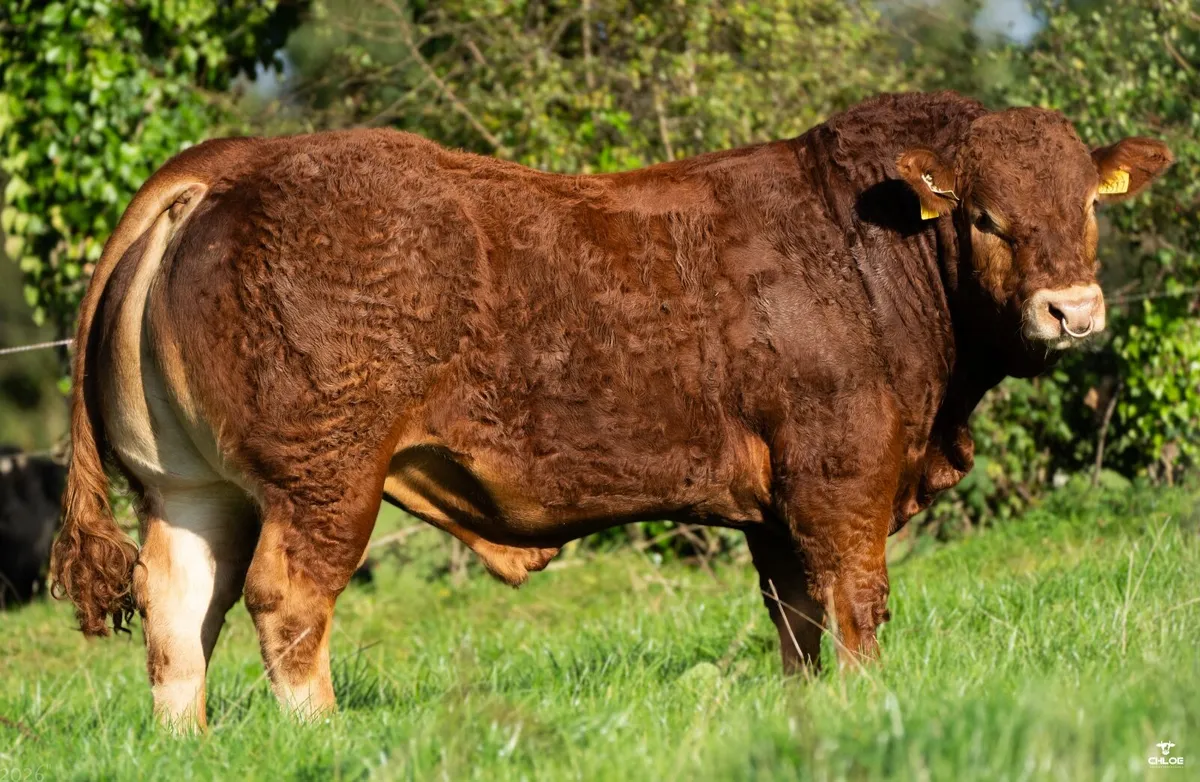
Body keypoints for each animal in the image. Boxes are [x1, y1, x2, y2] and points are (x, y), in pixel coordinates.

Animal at [49, 91, 1171, 730]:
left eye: (1086, 204)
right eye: (985, 215)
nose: (1073, 309)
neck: (866, 250)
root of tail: (237, 160)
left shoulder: (776, 510)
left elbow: (797, 622)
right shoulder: (839, 475)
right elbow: (855, 606)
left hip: (193, 490)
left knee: (178, 615)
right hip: (324, 480)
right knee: (287, 602)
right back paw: (325, 738)